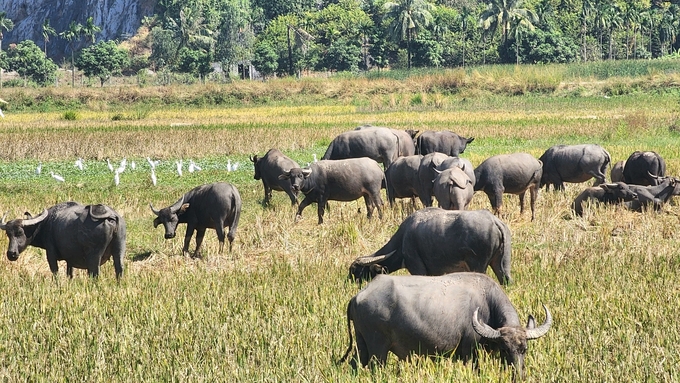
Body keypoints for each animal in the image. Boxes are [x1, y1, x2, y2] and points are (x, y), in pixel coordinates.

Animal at [340, 272, 552, 380]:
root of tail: (358, 296)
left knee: (355, 364)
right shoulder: (469, 353)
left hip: (362, 344)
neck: (486, 305)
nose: (519, 376)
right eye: (505, 349)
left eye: (524, 349)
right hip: (378, 349)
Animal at [348, 207, 512, 284]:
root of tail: (495, 221)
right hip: (501, 263)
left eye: (355, 271)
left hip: (478, 266)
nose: (348, 282)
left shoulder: (417, 268)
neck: (402, 240)